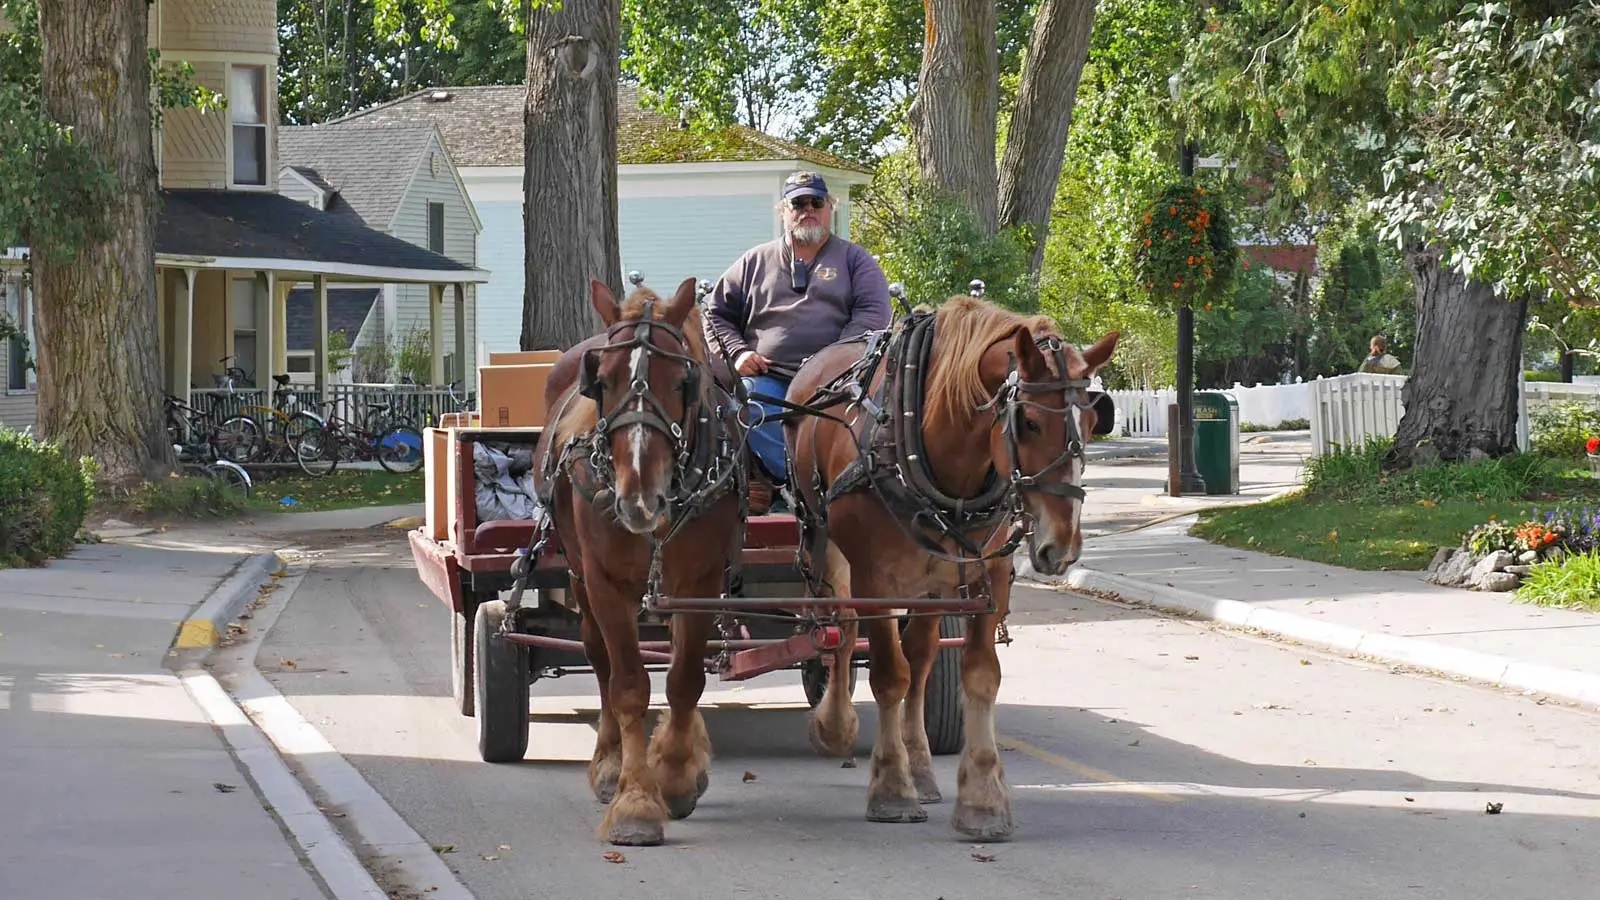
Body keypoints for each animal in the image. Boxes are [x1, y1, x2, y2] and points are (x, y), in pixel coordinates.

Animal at [534, 277, 739, 845]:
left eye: (682, 381)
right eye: (600, 381)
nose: (639, 499)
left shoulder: (699, 582)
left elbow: (685, 679)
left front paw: (675, 776)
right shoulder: (605, 582)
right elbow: (627, 685)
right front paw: (635, 802)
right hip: (579, 576)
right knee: (599, 660)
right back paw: (608, 763)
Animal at [784, 297, 1113, 839]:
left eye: (1090, 422)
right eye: (1028, 422)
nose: (1060, 547)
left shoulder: (988, 576)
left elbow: (977, 675)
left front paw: (981, 798)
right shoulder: (875, 576)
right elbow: (887, 674)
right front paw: (891, 788)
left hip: (934, 577)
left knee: (921, 657)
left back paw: (920, 766)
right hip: (827, 538)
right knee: (841, 627)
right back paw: (836, 724)